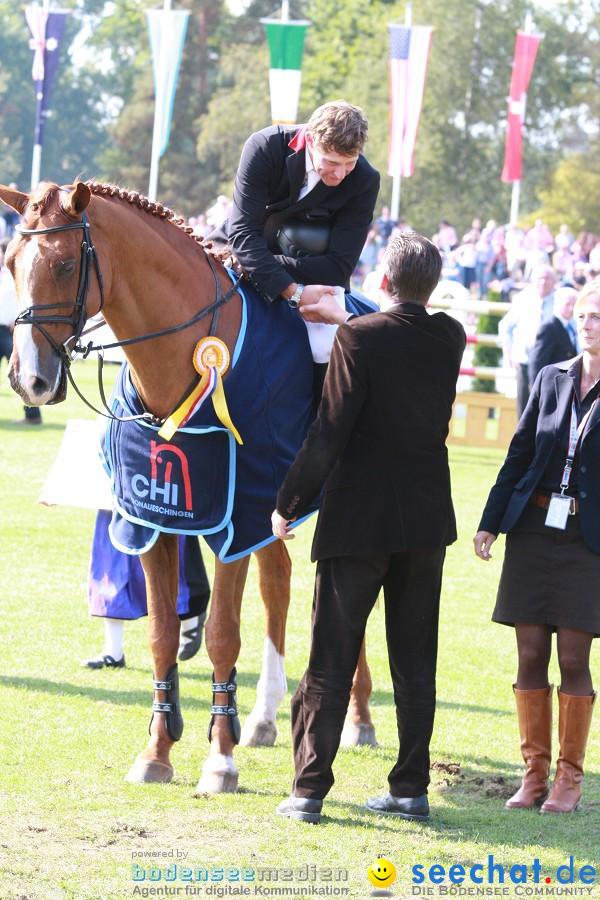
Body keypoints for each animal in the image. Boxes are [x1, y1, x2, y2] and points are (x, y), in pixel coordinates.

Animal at [0, 181, 376, 796]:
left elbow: (223, 633)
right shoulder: (154, 519)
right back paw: (264, 716)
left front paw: (219, 761)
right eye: (11, 263)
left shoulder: (236, 517)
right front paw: (157, 752)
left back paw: (360, 718)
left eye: (64, 264)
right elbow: (160, 632)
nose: (27, 380)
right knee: (278, 586)